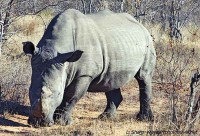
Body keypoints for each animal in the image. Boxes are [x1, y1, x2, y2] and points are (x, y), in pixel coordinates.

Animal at [22, 9, 156, 127]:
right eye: (29, 91)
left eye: (58, 93)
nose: (38, 123)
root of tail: (140, 24)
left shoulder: (84, 74)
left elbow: (70, 96)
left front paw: (62, 122)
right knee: (110, 80)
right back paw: (105, 117)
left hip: (147, 41)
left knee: (143, 77)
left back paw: (144, 119)